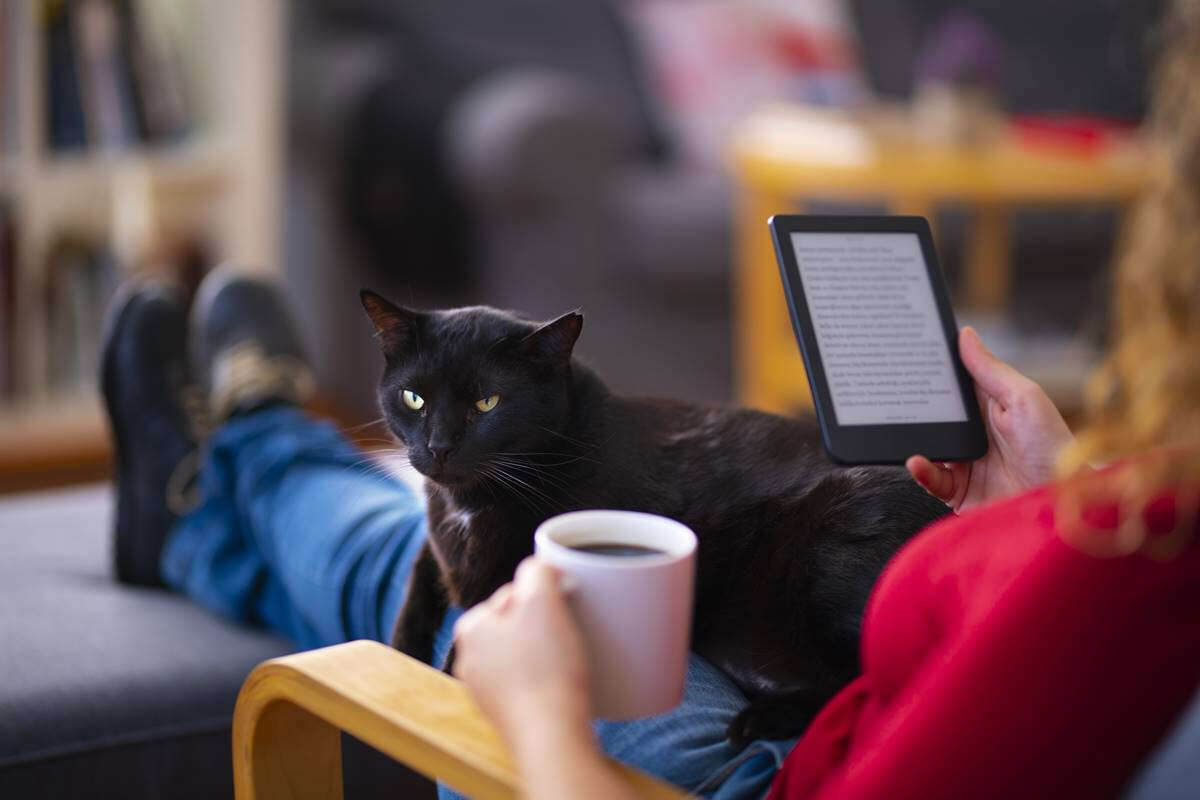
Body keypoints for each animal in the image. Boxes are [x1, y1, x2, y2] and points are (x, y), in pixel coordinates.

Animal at [355, 292, 945, 743]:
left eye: (487, 404)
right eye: (413, 398)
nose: (438, 448)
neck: (470, 503)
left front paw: (447, 676)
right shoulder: (438, 543)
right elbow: (417, 584)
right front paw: (400, 655)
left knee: (859, 690)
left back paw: (755, 722)